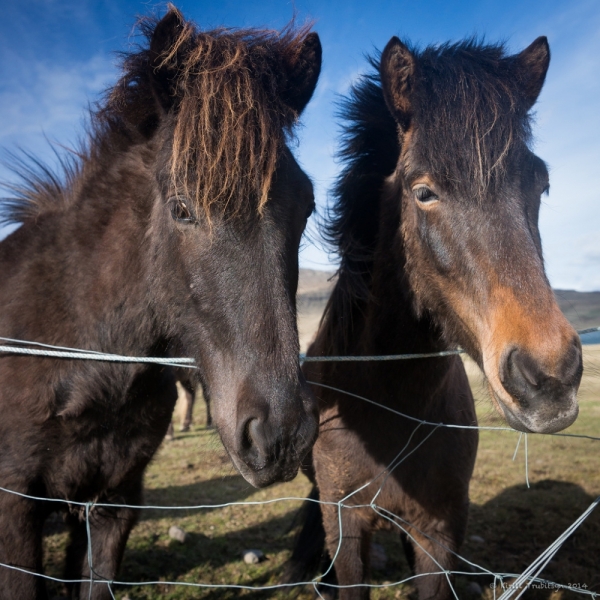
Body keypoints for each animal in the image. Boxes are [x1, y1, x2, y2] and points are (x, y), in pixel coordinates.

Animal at [284, 36, 580, 600]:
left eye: (542, 184)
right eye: (423, 192)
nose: (551, 377)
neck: (389, 405)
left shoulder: (439, 530)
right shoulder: (346, 523)